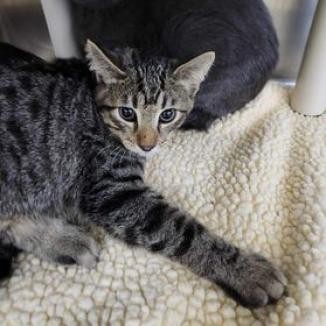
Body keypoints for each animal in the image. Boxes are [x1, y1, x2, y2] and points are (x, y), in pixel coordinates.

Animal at [0, 43, 286, 308]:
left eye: (167, 115)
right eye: (127, 113)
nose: (147, 145)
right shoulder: (113, 193)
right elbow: (181, 231)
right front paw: (245, 270)